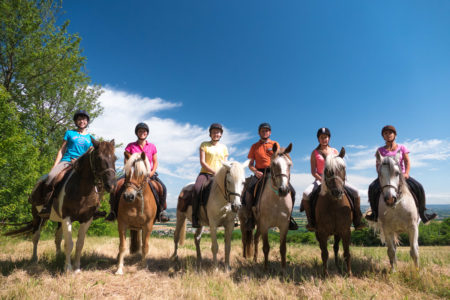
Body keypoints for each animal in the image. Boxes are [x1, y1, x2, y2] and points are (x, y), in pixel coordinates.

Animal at [5, 139, 117, 274]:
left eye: (115, 158)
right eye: (99, 158)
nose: (111, 185)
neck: (82, 190)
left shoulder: (86, 219)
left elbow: (79, 244)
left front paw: (77, 268)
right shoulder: (67, 217)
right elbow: (69, 244)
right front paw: (68, 269)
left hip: (58, 220)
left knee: (57, 238)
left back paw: (58, 257)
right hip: (38, 217)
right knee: (36, 237)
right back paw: (34, 259)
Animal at [312, 148, 352, 276]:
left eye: (343, 168)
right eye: (327, 171)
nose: (337, 192)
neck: (334, 205)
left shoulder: (345, 231)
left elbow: (346, 252)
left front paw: (349, 273)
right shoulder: (322, 232)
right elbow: (324, 253)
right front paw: (325, 274)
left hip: (337, 233)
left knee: (335, 248)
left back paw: (338, 267)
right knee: (323, 249)